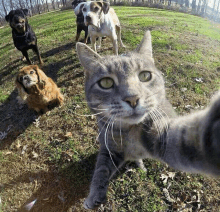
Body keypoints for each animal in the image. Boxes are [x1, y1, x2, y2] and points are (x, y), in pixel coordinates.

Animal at [75, 30, 220, 210]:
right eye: (106, 82)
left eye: (145, 76)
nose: (132, 98)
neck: (128, 133)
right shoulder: (108, 146)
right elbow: (101, 169)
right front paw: (94, 194)